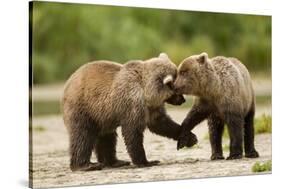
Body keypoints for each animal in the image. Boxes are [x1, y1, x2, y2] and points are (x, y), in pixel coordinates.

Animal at [62, 53, 196, 171]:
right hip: (83, 108)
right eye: (177, 90)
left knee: (107, 138)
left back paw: (115, 162)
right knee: (82, 136)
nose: (183, 100)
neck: (147, 92)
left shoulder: (152, 107)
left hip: (102, 116)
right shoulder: (132, 102)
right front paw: (146, 161)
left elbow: (161, 123)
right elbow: (132, 132)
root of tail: (67, 84)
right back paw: (86, 165)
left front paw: (190, 137)